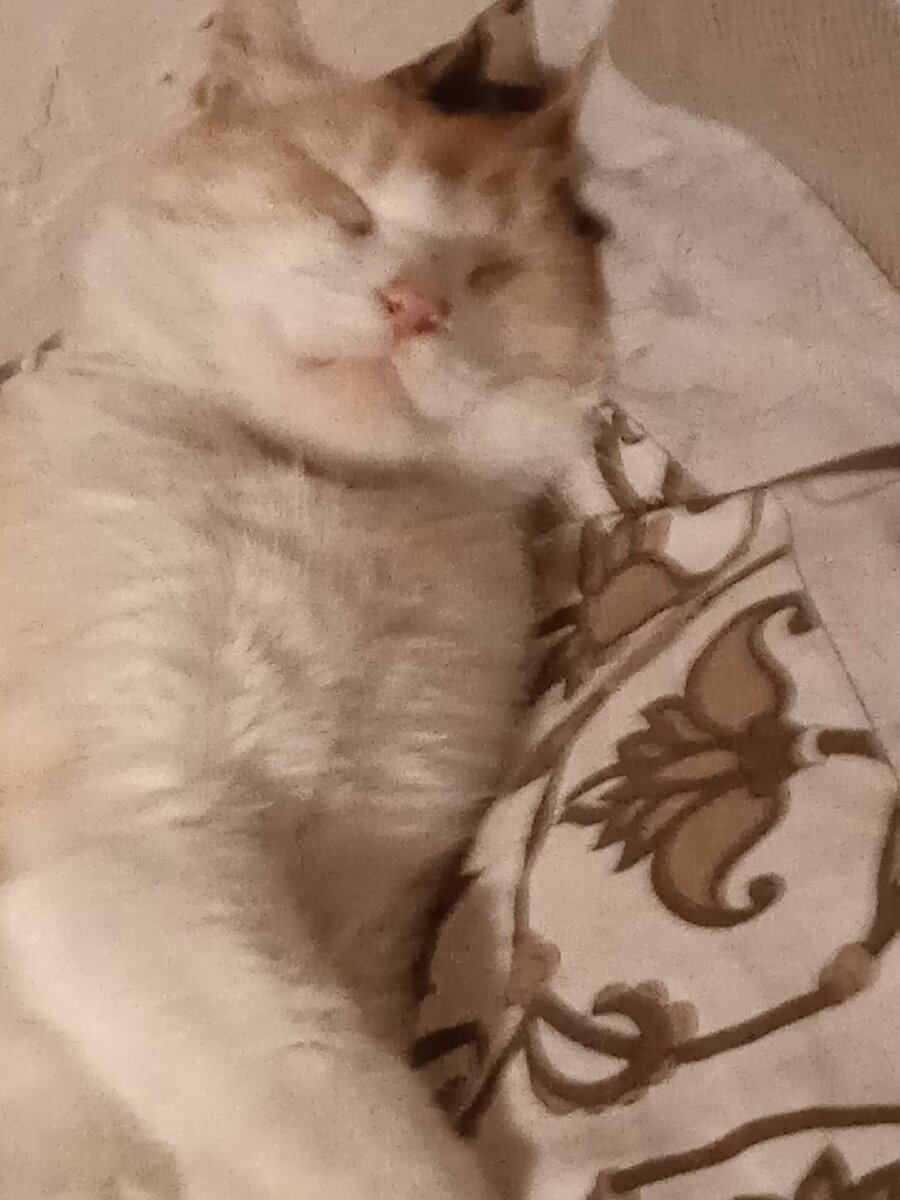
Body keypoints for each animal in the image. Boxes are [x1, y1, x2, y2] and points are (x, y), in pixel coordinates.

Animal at [0, 1, 606, 1197]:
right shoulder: (135, 824)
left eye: (495, 273)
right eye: (345, 204)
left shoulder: (376, 885)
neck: (325, 498)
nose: (414, 306)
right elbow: (337, 1104)